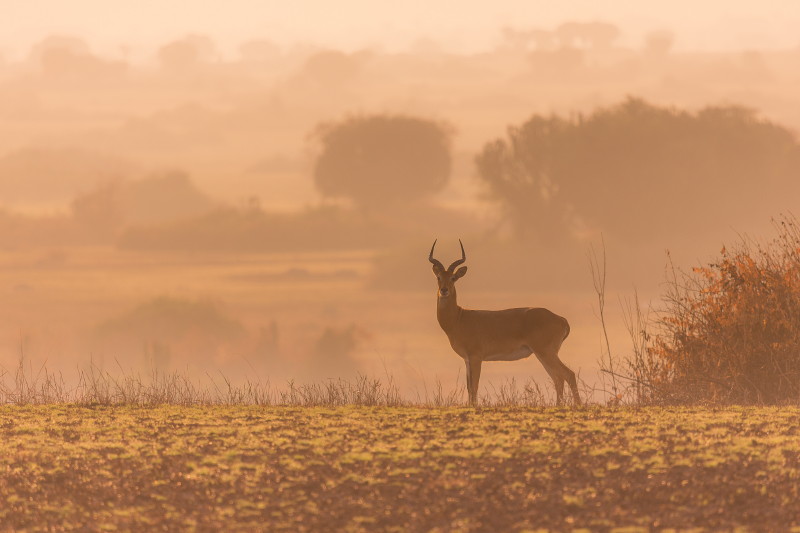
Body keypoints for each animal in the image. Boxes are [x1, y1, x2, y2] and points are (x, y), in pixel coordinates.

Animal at [428, 239, 580, 406]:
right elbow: (469, 387)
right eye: (438, 277)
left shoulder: (476, 357)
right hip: (544, 354)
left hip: (545, 352)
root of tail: (561, 319)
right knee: (558, 378)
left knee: (568, 374)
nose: (444, 290)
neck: (459, 318)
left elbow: (474, 386)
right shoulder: (467, 359)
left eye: (453, 278)